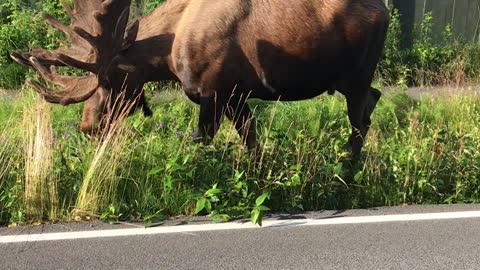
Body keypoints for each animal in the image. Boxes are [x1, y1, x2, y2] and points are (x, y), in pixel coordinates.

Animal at [12, 0, 390, 156]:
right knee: (374, 100)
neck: (167, 56)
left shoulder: (212, 92)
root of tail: (385, 9)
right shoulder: (236, 95)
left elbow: (201, 143)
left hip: (357, 75)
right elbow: (251, 142)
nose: (87, 126)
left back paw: (348, 168)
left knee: (360, 120)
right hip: (348, 81)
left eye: (108, 80)